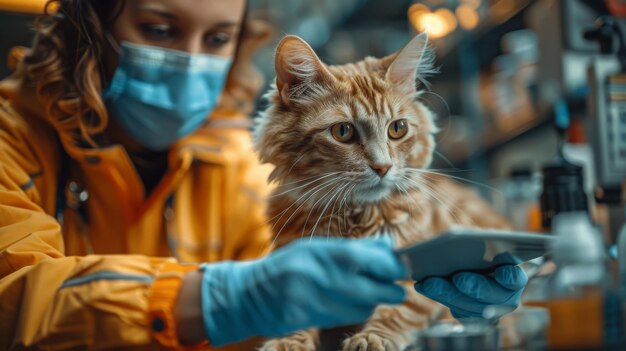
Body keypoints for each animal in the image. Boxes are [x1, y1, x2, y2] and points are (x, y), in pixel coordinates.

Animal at [251, 33, 510, 351]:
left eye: (397, 128)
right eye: (342, 132)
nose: (383, 166)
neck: (356, 217)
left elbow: (399, 309)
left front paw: (371, 338)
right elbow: (296, 309)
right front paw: (288, 342)